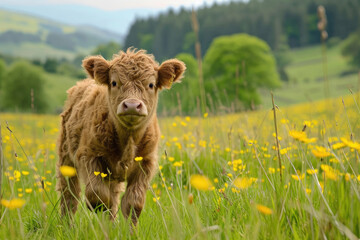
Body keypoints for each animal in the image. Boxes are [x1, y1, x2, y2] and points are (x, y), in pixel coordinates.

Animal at [57, 48, 186, 225]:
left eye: (151, 84)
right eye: (114, 82)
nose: (131, 105)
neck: (128, 139)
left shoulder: (146, 163)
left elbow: (133, 204)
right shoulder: (88, 155)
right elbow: (97, 195)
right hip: (66, 158)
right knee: (69, 196)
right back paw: (65, 225)